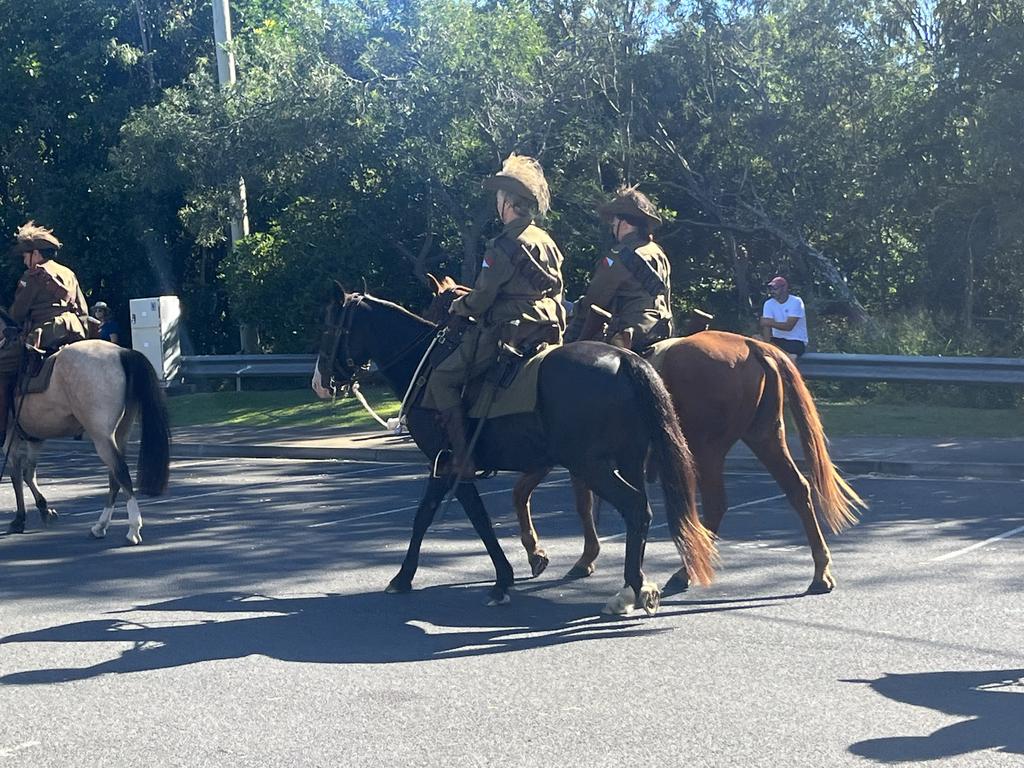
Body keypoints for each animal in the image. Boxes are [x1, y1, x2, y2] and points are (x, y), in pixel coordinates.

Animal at [4, 339, 168, 544]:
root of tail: (122, 352)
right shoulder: (33, 437)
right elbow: (28, 474)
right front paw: (45, 510)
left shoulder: (11, 436)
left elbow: (16, 474)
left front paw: (19, 519)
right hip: (121, 432)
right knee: (114, 477)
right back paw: (100, 526)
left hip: (101, 436)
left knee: (121, 472)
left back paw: (133, 529)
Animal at [315, 286, 716, 618]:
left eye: (330, 328)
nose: (320, 382)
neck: (425, 366)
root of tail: (625, 359)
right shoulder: (452, 468)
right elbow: (443, 516)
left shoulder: (448, 465)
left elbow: (460, 518)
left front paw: (495, 579)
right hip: (627, 460)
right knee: (640, 514)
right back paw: (632, 587)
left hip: (592, 465)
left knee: (635, 509)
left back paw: (631, 589)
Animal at [423, 276, 864, 593]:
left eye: (438, 305)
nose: (435, 337)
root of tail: (754, 346)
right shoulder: (566, 459)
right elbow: (544, 497)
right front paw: (558, 556)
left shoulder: (570, 459)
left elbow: (573, 504)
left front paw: (574, 557)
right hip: (764, 436)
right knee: (798, 489)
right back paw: (820, 572)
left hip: (707, 449)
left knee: (717, 504)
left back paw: (685, 572)